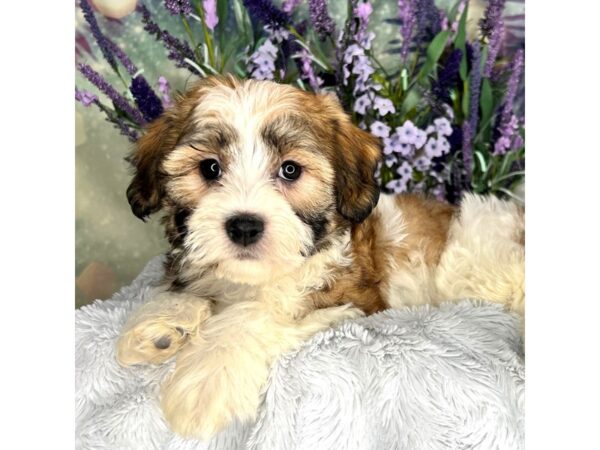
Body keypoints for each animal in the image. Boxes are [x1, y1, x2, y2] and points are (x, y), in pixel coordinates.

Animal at [115, 76, 524, 440]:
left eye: (290, 169)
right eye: (210, 168)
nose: (244, 226)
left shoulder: (353, 294)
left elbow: (255, 316)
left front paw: (207, 379)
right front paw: (164, 321)